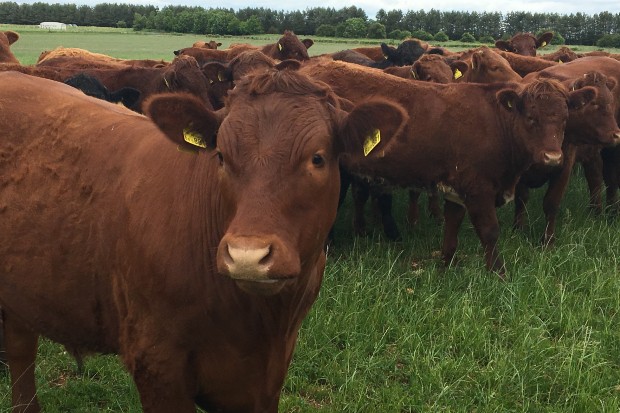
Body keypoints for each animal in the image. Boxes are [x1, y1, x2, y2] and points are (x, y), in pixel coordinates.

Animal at [0, 69, 406, 410]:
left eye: (317, 158)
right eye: (221, 156)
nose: (247, 256)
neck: (258, 321)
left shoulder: (269, 374)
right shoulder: (157, 364)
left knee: (20, 351)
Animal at [302, 58, 584, 276]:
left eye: (565, 119)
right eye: (531, 118)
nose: (552, 157)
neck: (496, 124)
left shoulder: (456, 189)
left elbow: (452, 226)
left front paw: (446, 264)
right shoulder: (478, 189)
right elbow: (490, 232)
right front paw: (499, 273)